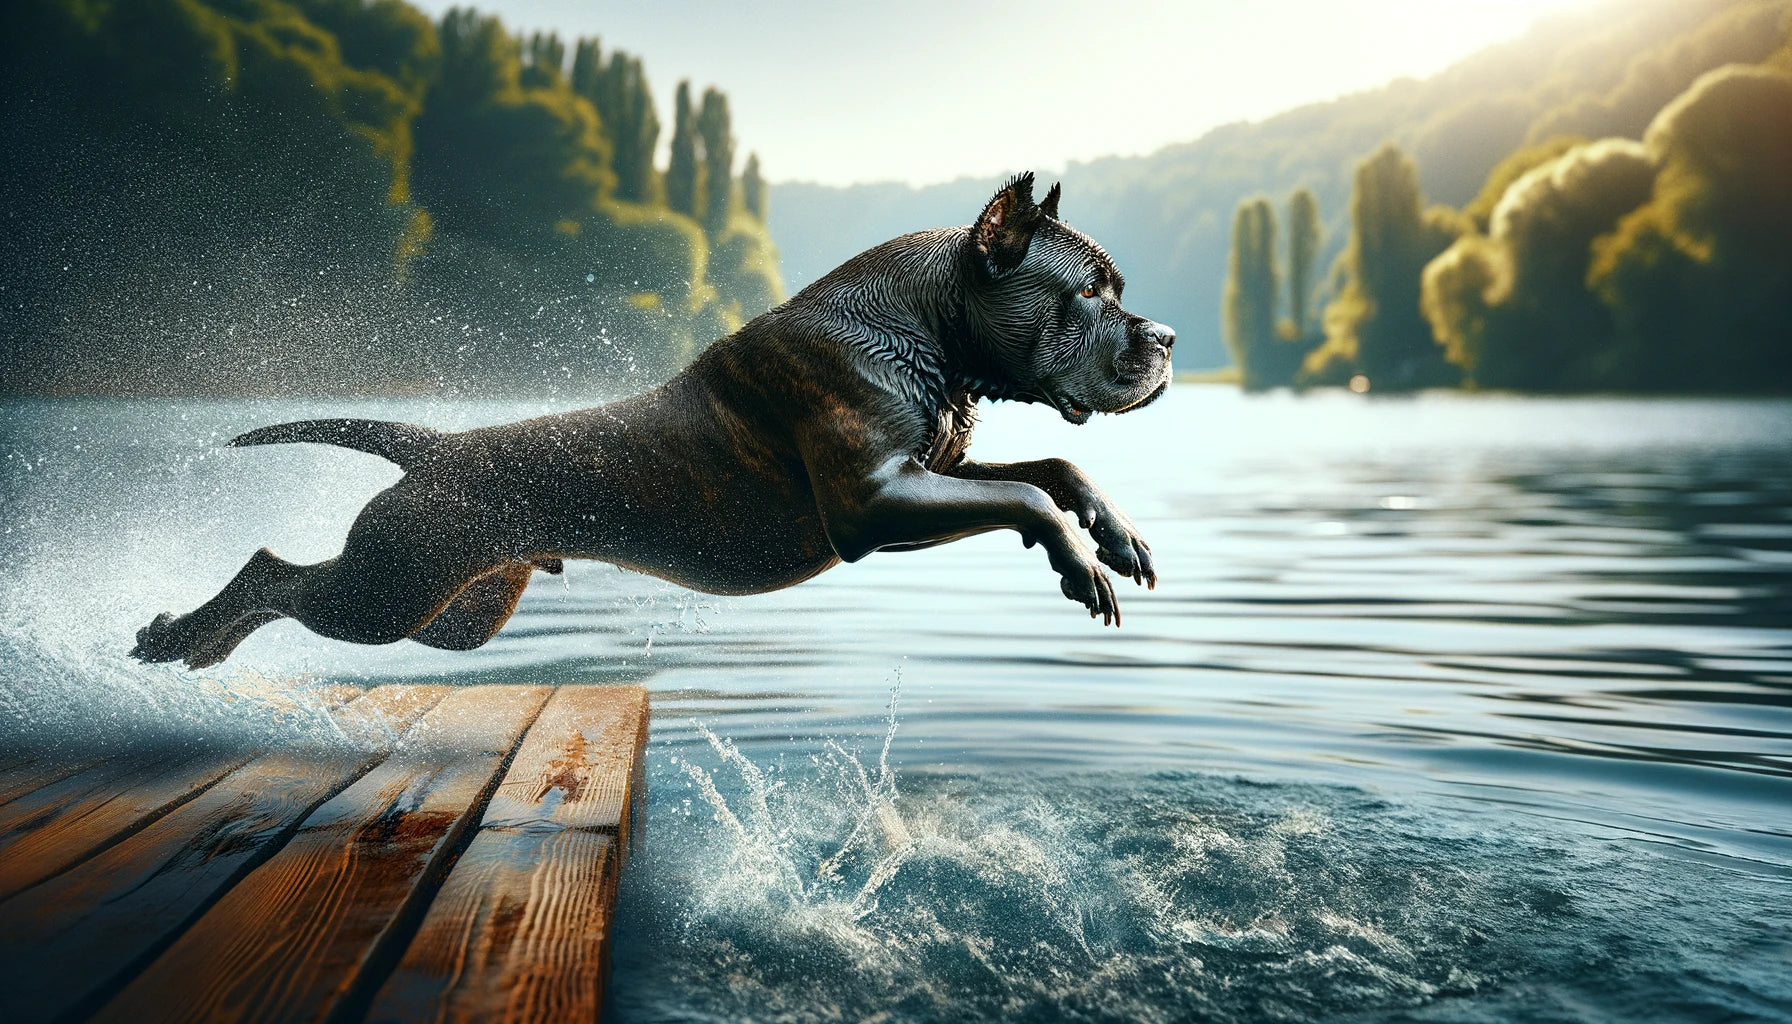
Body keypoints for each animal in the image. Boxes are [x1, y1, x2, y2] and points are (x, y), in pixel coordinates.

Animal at [136, 173, 1175, 674]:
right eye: (1088, 293)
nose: (1165, 337)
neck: (926, 326)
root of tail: (436, 443)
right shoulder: (873, 506)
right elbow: (1024, 496)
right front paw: (1079, 563)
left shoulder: (934, 474)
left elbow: (1049, 470)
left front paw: (1114, 535)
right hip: (387, 592)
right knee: (272, 573)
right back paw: (180, 636)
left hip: (452, 609)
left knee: (301, 587)